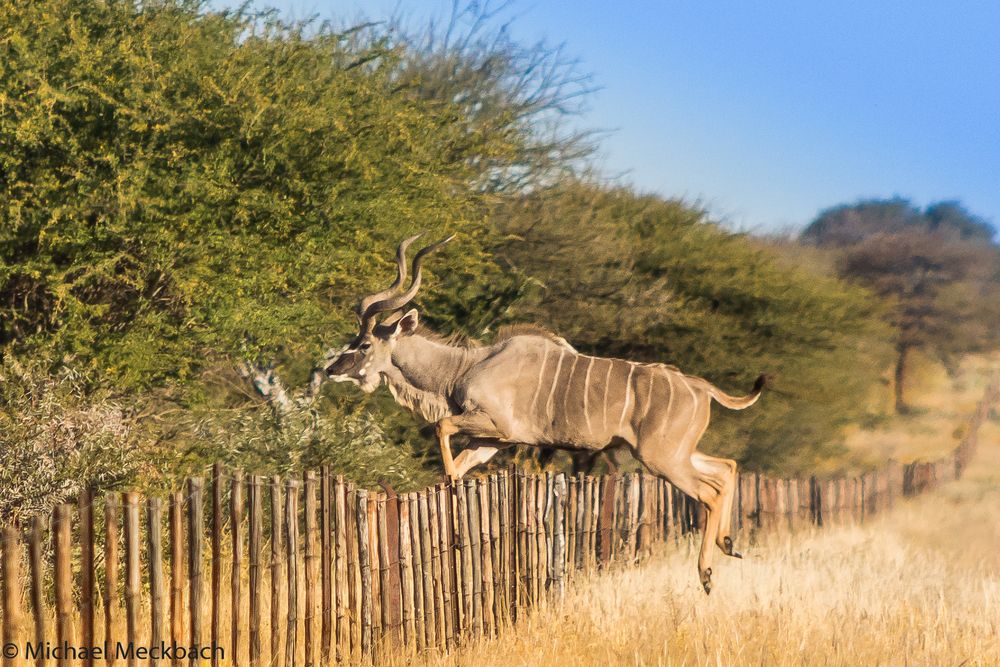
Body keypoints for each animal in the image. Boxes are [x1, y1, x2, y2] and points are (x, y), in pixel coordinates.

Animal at [324, 236, 760, 596]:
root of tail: (702, 388)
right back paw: (728, 544)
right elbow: (458, 458)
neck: (465, 367)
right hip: (675, 453)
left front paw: (451, 488)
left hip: (661, 458)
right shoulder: (489, 440)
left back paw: (706, 573)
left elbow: (441, 428)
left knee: (708, 491)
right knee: (726, 469)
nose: (331, 370)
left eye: (363, 344)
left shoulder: (495, 426)